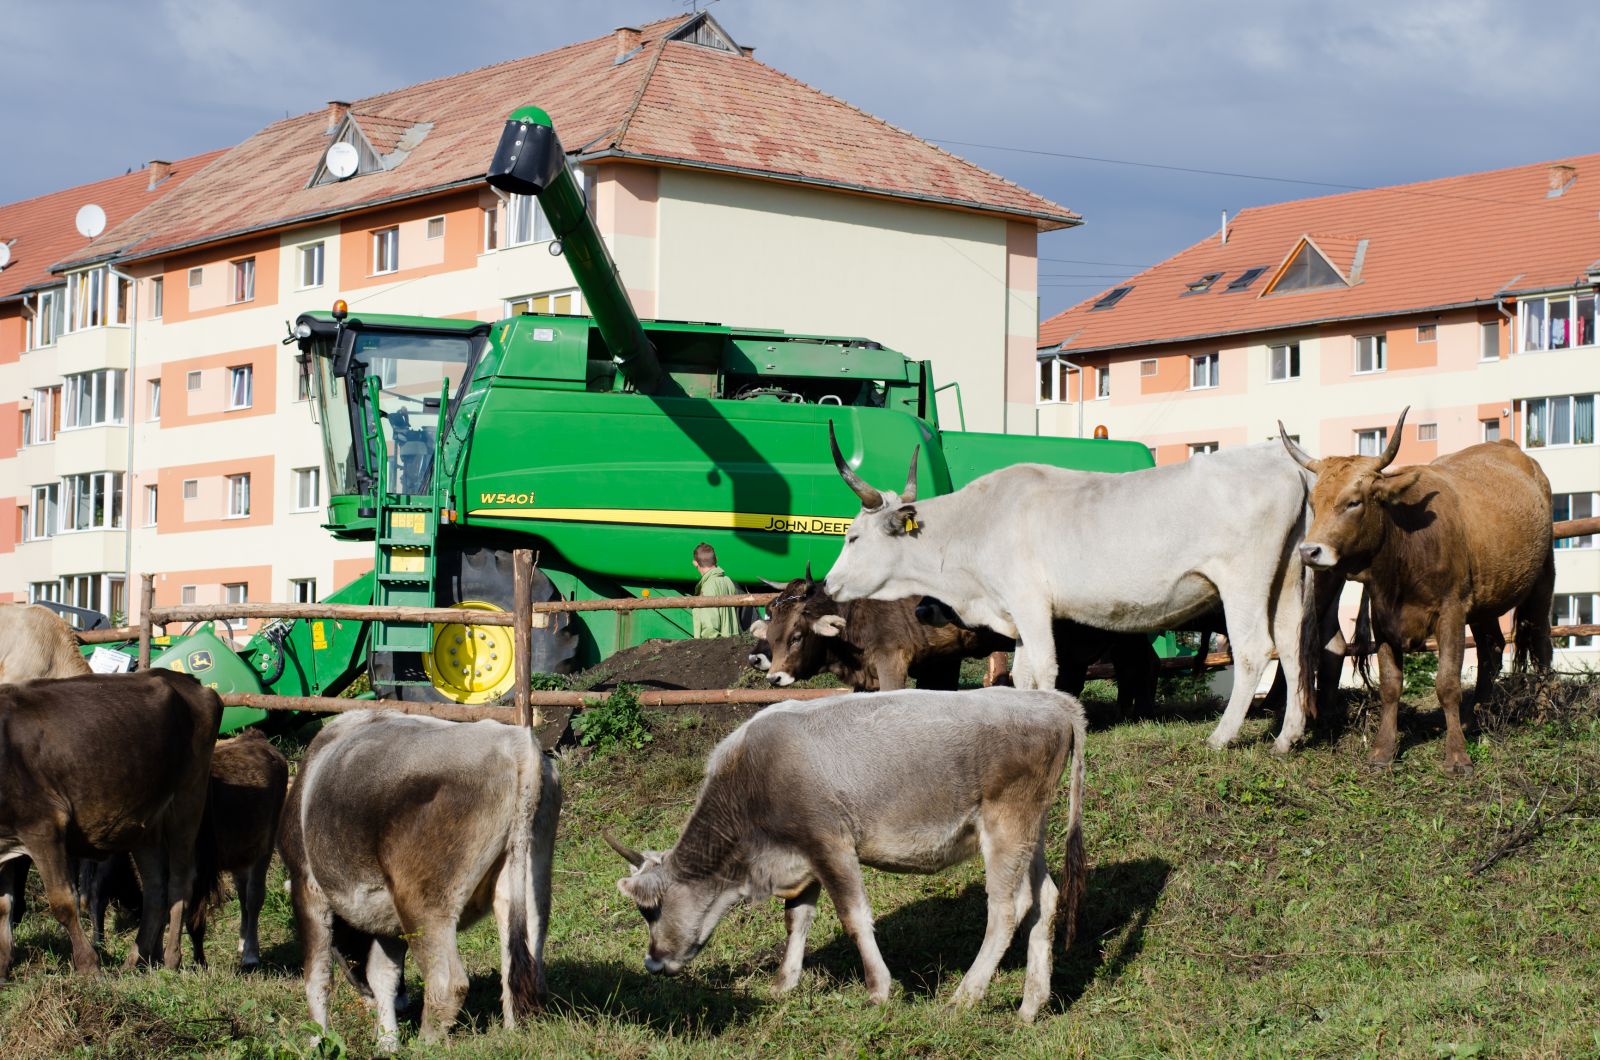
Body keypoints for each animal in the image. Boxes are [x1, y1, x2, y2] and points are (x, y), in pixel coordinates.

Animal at [0, 672, 222, 979]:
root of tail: (186, 680)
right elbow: (4, 906)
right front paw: (2, 965)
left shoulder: (44, 826)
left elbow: (63, 902)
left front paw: (88, 965)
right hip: (145, 823)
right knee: (156, 887)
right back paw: (137, 958)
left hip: (188, 799)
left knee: (180, 882)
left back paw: (170, 958)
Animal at [281, 710, 563, 1050]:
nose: (364, 997)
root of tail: (517, 745)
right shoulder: (384, 911)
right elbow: (383, 974)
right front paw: (388, 1043)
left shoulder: (306, 885)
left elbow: (318, 976)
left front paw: (318, 1042)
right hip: (530, 875)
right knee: (526, 962)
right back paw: (513, 1033)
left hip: (423, 902)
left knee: (448, 983)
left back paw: (425, 1044)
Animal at [608, 685, 1088, 1024]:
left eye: (649, 910)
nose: (651, 963)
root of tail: (1054, 701)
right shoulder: (802, 857)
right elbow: (796, 919)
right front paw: (784, 983)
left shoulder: (829, 842)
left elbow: (854, 916)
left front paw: (878, 989)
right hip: (1031, 830)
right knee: (1045, 899)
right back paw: (1030, 1006)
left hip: (1006, 822)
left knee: (1007, 908)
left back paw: (965, 996)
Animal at [819, 425, 1331, 755]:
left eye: (853, 537)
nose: (828, 582)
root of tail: (1278, 459)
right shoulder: (1015, 613)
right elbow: (1021, 675)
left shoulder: (1029, 602)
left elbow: (1047, 670)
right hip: (1287, 578)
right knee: (1291, 647)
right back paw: (1287, 737)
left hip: (1242, 580)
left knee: (1254, 650)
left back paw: (1222, 736)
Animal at [1280, 408, 1555, 771]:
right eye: (1313, 503)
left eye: (1353, 502)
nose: (1309, 551)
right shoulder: (1382, 617)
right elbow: (1390, 685)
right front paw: (1382, 751)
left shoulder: (1451, 611)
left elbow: (1447, 683)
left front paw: (1457, 756)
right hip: (1483, 602)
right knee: (1491, 651)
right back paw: (1474, 718)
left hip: (1542, 580)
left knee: (1542, 646)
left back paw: (1543, 716)